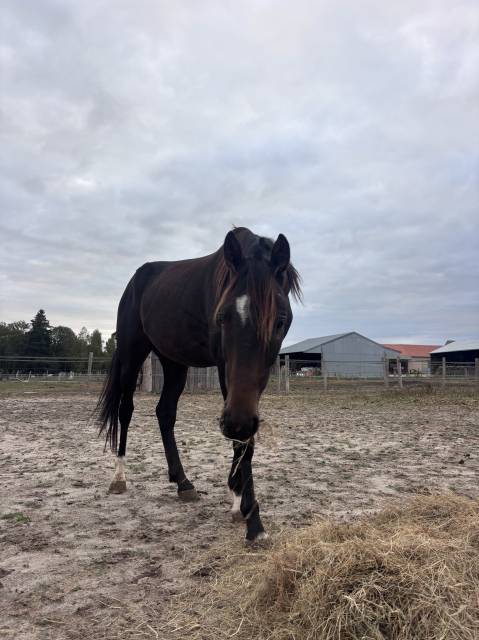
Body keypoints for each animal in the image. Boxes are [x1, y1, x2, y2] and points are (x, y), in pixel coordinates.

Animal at [96, 227, 301, 541]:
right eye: (222, 317)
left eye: (279, 321)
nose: (236, 422)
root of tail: (136, 279)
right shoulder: (225, 369)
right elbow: (242, 442)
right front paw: (253, 522)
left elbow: (246, 440)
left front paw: (237, 499)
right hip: (132, 355)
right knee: (125, 409)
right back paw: (119, 477)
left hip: (173, 362)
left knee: (165, 413)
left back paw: (183, 482)